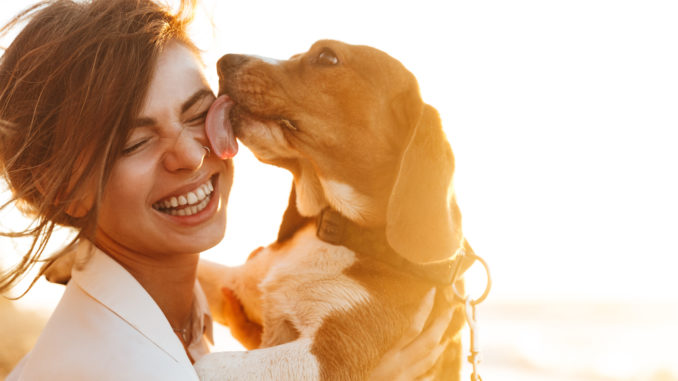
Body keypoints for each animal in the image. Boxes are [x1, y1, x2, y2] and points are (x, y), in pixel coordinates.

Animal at [194, 40, 476, 378]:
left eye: (327, 56)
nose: (224, 62)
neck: (335, 229)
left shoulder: (331, 354)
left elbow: (210, 363)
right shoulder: (236, 286)